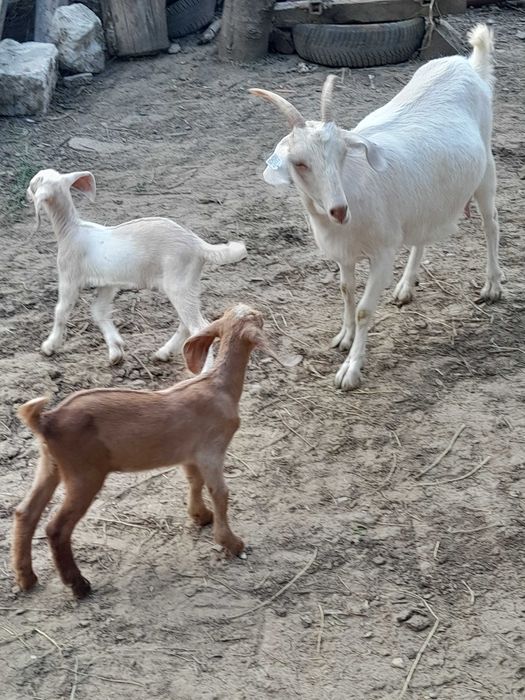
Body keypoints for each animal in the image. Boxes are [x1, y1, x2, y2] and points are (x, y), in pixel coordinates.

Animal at [12, 305, 299, 598]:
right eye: (257, 317)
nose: (260, 312)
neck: (218, 386)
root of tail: (46, 420)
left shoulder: (190, 453)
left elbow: (194, 481)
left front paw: (201, 516)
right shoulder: (212, 448)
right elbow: (220, 492)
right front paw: (232, 542)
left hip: (51, 464)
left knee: (25, 513)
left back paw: (26, 579)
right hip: (83, 473)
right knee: (56, 528)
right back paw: (79, 585)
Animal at [26, 169, 247, 365]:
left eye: (35, 182)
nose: (27, 192)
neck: (71, 230)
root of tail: (198, 244)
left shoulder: (69, 276)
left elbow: (61, 311)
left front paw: (50, 346)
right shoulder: (108, 283)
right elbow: (99, 311)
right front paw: (115, 350)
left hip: (178, 282)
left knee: (198, 325)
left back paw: (203, 373)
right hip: (187, 283)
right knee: (187, 323)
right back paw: (164, 353)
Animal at [250, 24, 502, 390]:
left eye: (342, 152)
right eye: (299, 163)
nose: (339, 210)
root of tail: (469, 65)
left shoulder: (382, 253)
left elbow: (364, 309)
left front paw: (350, 370)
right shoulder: (344, 252)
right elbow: (345, 290)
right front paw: (344, 337)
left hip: (485, 170)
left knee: (491, 223)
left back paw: (493, 286)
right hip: (423, 199)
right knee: (422, 235)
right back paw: (406, 287)